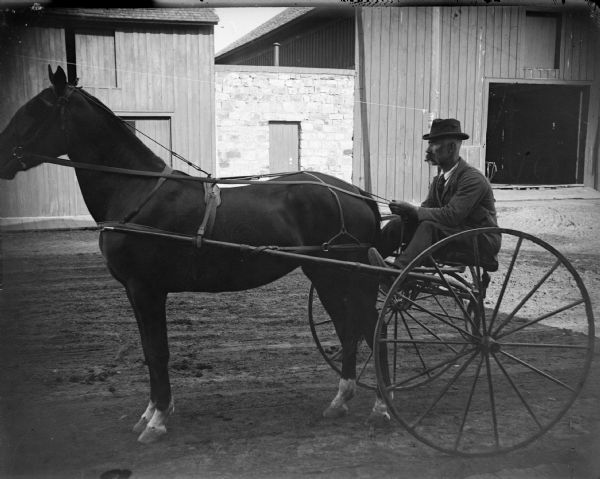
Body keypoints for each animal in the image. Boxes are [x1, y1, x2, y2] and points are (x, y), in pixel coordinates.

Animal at [0, 65, 392, 444]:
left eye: (34, 110)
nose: (2, 156)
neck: (137, 192)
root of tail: (355, 192)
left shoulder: (147, 289)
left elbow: (158, 352)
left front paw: (157, 420)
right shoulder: (135, 291)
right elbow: (148, 351)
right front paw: (151, 412)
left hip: (343, 275)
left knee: (371, 327)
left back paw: (382, 407)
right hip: (327, 276)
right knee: (350, 330)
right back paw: (341, 400)